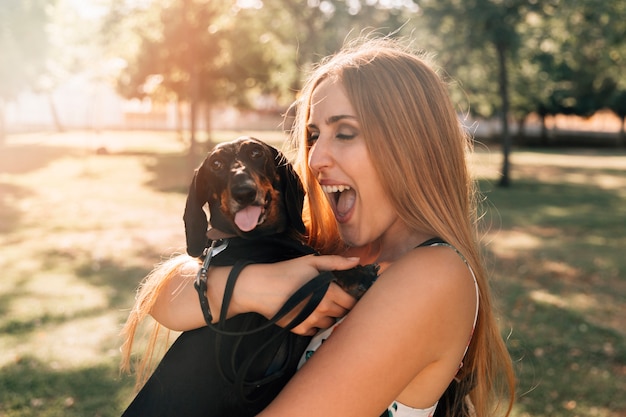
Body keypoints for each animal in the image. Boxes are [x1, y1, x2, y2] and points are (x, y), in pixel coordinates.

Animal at [121, 137, 376, 416]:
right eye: (216, 164)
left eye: (256, 152)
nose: (243, 192)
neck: (253, 240)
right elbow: (311, 262)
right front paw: (356, 273)